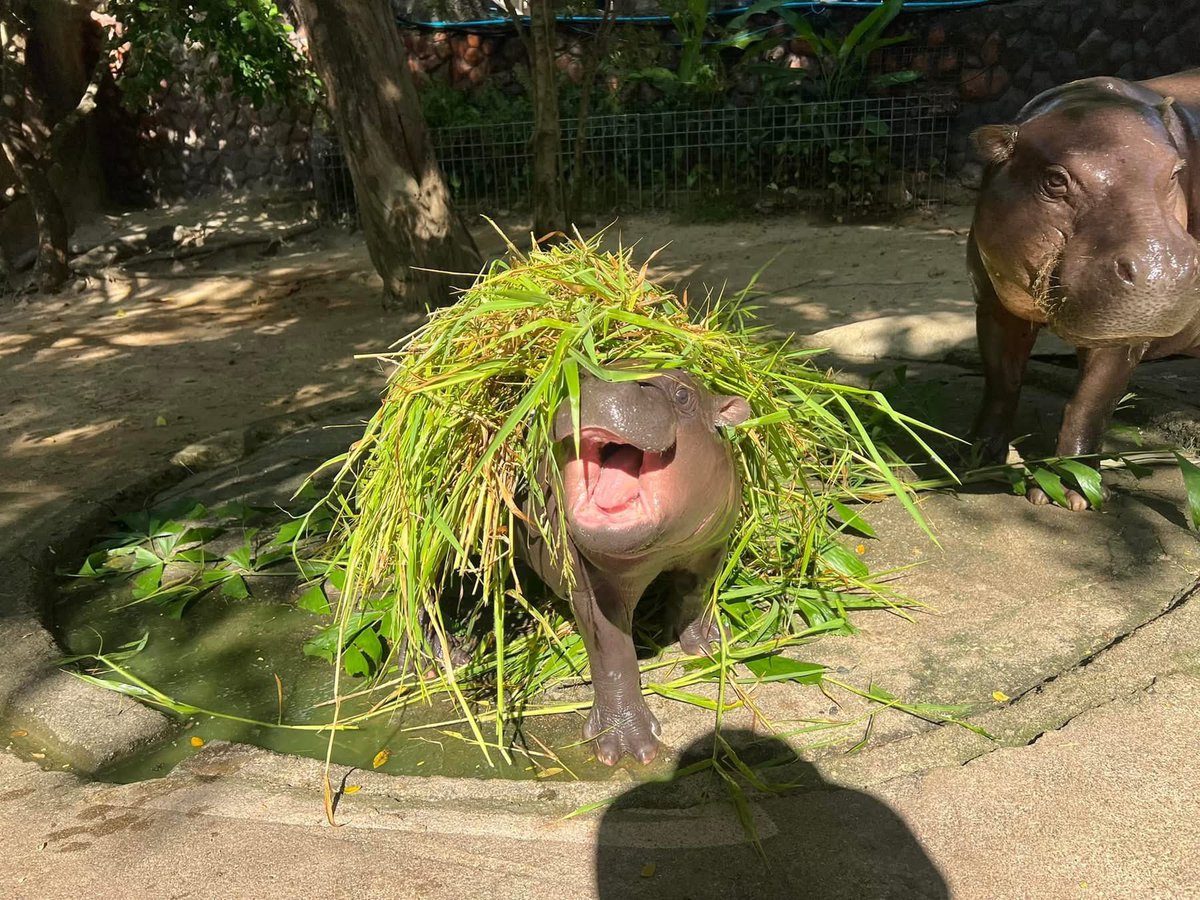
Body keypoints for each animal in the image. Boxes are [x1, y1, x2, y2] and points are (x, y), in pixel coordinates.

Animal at [519, 366, 751, 765]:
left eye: (683, 395)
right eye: (580, 375)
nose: (602, 387)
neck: (663, 549)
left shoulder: (710, 546)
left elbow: (695, 595)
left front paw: (707, 645)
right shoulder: (592, 586)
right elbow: (613, 654)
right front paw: (628, 744)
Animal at [969, 70, 1200, 509]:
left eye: (1176, 171)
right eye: (1055, 180)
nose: (1162, 270)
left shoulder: (1123, 334)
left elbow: (1088, 405)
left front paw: (1072, 490)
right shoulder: (995, 304)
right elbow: (1001, 381)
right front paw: (972, 459)